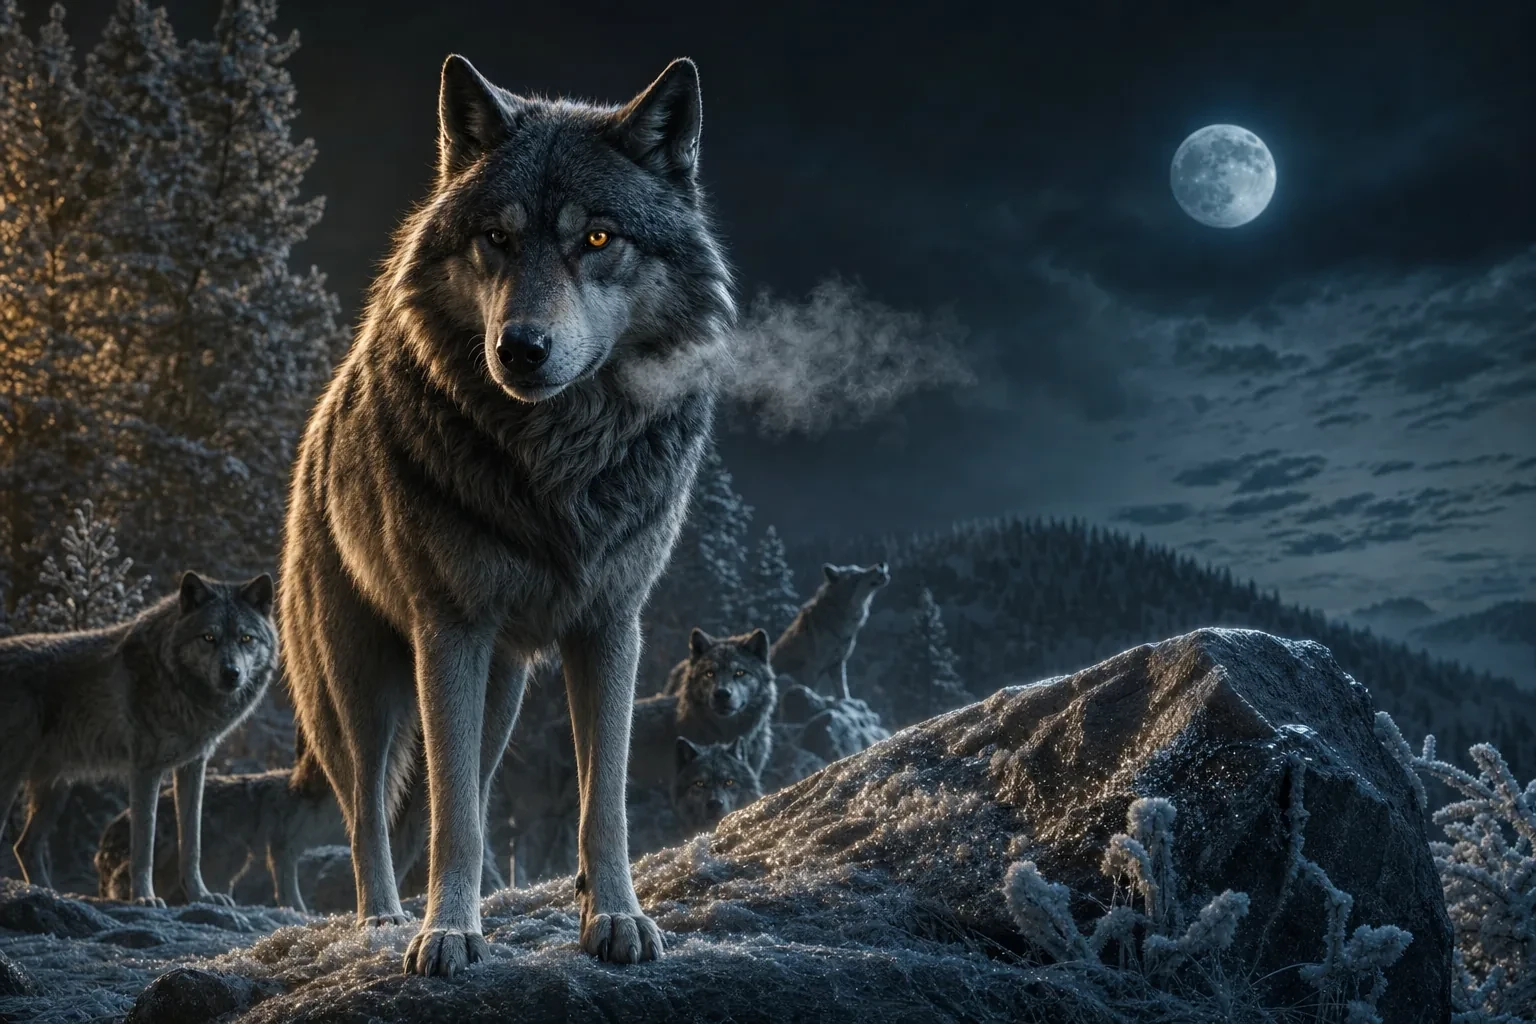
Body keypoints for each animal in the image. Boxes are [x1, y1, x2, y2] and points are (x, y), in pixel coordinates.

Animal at [0, 572, 276, 906]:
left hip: (56, 788)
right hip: (13, 778)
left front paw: (202, 895)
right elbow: (144, 844)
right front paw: (145, 898)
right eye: (209, 638)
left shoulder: (193, 766)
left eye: (246, 639)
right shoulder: (145, 769)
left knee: (25, 846)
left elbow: (192, 843)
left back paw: (49, 895)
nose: (231, 673)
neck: (176, 683)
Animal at [277, 52, 735, 975]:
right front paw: (447, 933)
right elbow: (452, 818)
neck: (558, 462)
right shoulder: (449, 630)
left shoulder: (611, 626)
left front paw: (616, 917)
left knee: (466, 790)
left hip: (502, 691)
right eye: (498, 237)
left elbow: (602, 803)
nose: (519, 348)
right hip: (364, 690)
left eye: (597, 238)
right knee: (370, 810)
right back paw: (385, 921)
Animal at [770, 562, 891, 701]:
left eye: (860, 568)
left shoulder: (838, 664)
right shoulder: (811, 668)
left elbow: (843, 691)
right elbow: (811, 691)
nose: (881, 564)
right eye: (858, 574)